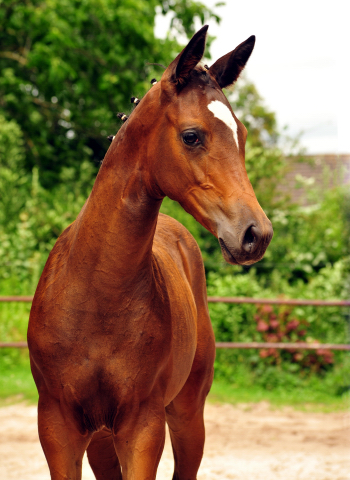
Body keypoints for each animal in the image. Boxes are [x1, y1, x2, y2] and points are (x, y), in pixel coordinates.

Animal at [28, 26, 274, 480]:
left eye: (242, 135)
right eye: (192, 135)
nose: (256, 234)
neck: (96, 293)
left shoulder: (143, 427)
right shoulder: (57, 427)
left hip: (187, 414)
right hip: (101, 440)